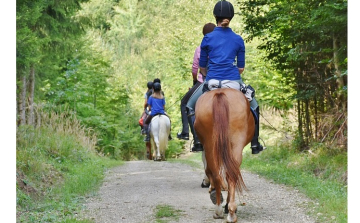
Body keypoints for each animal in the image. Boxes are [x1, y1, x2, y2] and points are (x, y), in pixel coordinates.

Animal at [194, 88, 256, 222]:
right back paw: (228, 210)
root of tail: (219, 93)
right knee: (228, 175)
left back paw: (221, 209)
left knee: (219, 174)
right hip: (233, 144)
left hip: (212, 145)